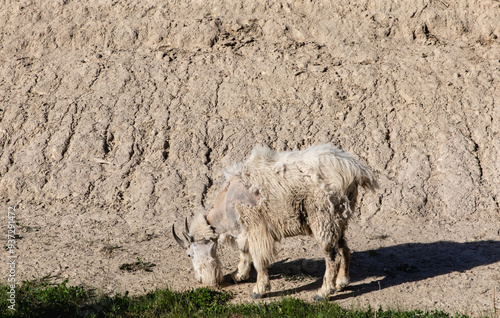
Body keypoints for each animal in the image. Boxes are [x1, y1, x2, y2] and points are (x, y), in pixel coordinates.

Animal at [174, 144, 376, 300]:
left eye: (189, 254)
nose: (199, 279)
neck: (227, 201)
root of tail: (353, 170)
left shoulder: (255, 226)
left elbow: (258, 258)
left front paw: (259, 290)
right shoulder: (245, 230)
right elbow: (244, 252)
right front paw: (238, 275)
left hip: (323, 219)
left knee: (332, 256)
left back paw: (324, 292)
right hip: (339, 219)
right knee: (344, 248)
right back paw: (342, 282)